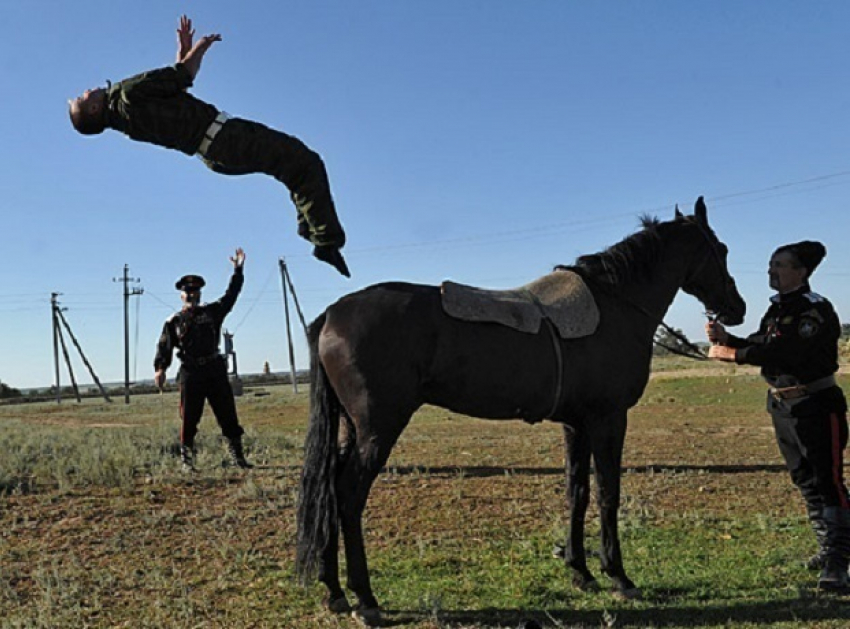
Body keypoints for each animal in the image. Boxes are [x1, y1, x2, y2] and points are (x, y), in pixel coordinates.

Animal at [296, 197, 744, 624]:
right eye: (720, 249)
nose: (736, 309)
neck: (614, 305)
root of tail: (331, 315)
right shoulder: (609, 420)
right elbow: (608, 493)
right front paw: (618, 576)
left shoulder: (577, 425)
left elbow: (577, 492)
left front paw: (581, 572)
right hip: (378, 429)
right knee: (348, 495)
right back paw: (365, 598)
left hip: (352, 429)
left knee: (330, 491)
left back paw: (334, 591)